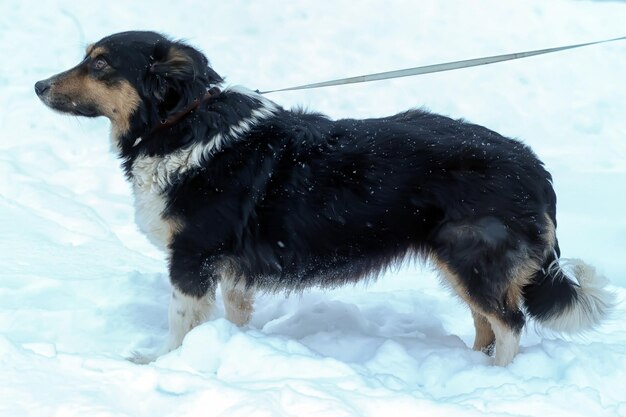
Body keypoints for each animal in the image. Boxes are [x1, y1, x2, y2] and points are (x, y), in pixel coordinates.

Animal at [34, 30, 608, 364]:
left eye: (101, 63)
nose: (38, 85)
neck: (183, 123)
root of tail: (533, 167)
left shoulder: (192, 259)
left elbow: (180, 323)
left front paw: (163, 365)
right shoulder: (229, 269)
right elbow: (233, 315)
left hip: (472, 258)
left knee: (510, 324)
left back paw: (495, 378)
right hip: (460, 264)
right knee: (486, 322)